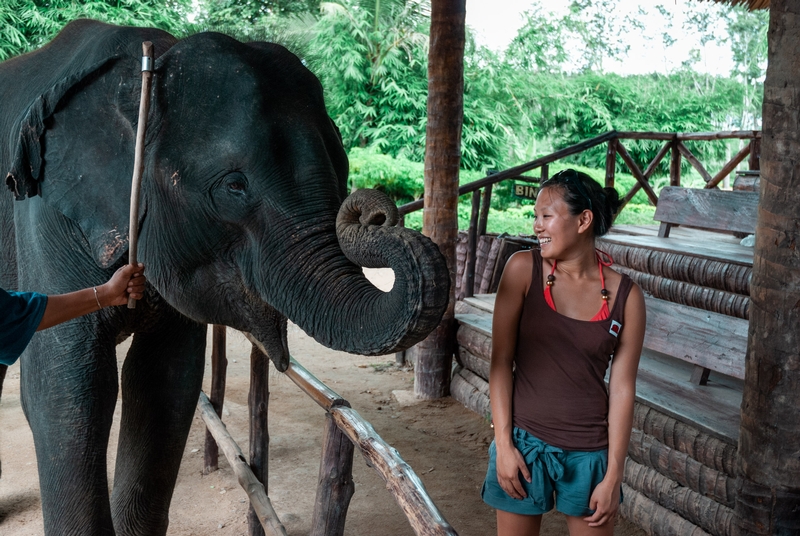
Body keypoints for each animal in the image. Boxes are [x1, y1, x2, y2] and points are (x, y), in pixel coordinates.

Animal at [0, 18, 450, 532]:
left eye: (342, 171)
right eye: (235, 186)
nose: (376, 212)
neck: (148, 62)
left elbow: (165, 382)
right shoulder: (42, 213)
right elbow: (67, 388)